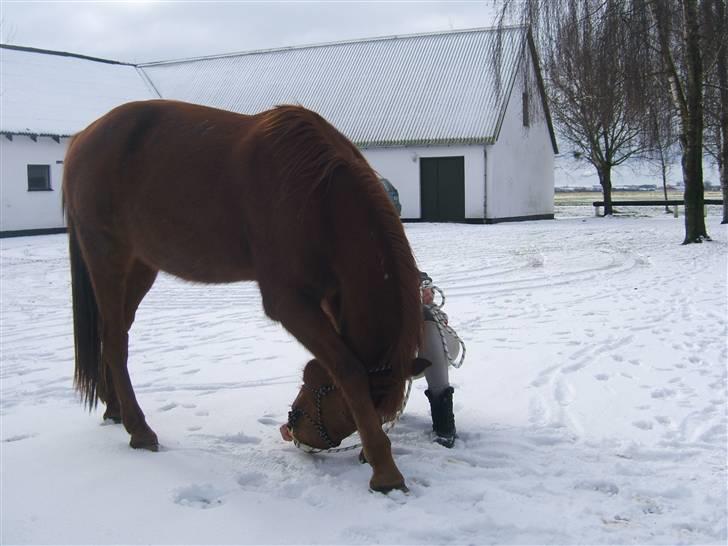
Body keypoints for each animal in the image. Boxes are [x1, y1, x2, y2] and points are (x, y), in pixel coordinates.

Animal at [66, 100, 426, 490]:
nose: (291, 428)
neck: (319, 196)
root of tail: (81, 139)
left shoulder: (329, 297)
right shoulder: (289, 303)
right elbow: (348, 368)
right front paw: (385, 471)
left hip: (140, 266)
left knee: (114, 334)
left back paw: (115, 408)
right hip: (107, 257)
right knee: (116, 340)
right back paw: (140, 430)